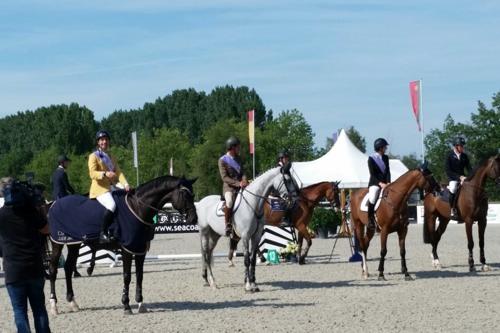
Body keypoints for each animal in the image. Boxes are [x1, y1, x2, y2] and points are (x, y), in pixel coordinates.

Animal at [47, 176, 197, 314]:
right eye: (185, 195)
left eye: (193, 195)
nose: (193, 219)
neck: (138, 208)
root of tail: (54, 203)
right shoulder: (127, 250)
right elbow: (127, 276)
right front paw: (126, 305)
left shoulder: (140, 250)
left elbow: (139, 276)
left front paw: (140, 304)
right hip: (57, 243)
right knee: (53, 269)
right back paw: (54, 305)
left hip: (73, 244)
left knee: (68, 268)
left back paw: (72, 302)